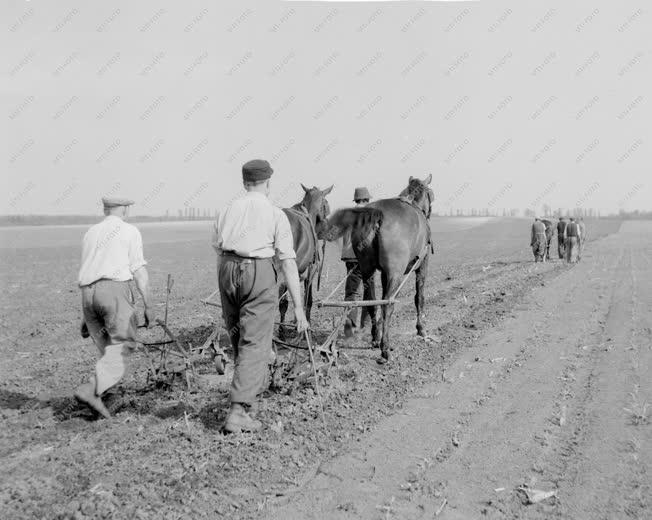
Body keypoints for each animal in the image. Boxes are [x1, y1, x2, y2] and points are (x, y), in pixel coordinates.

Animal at [326, 175, 432, 362]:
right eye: (430, 194)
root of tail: (379, 215)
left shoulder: (382, 273)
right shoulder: (422, 265)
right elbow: (419, 298)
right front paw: (421, 329)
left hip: (367, 269)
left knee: (372, 302)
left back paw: (376, 338)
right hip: (395, 274)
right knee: (387, 304)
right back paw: (385, 348)